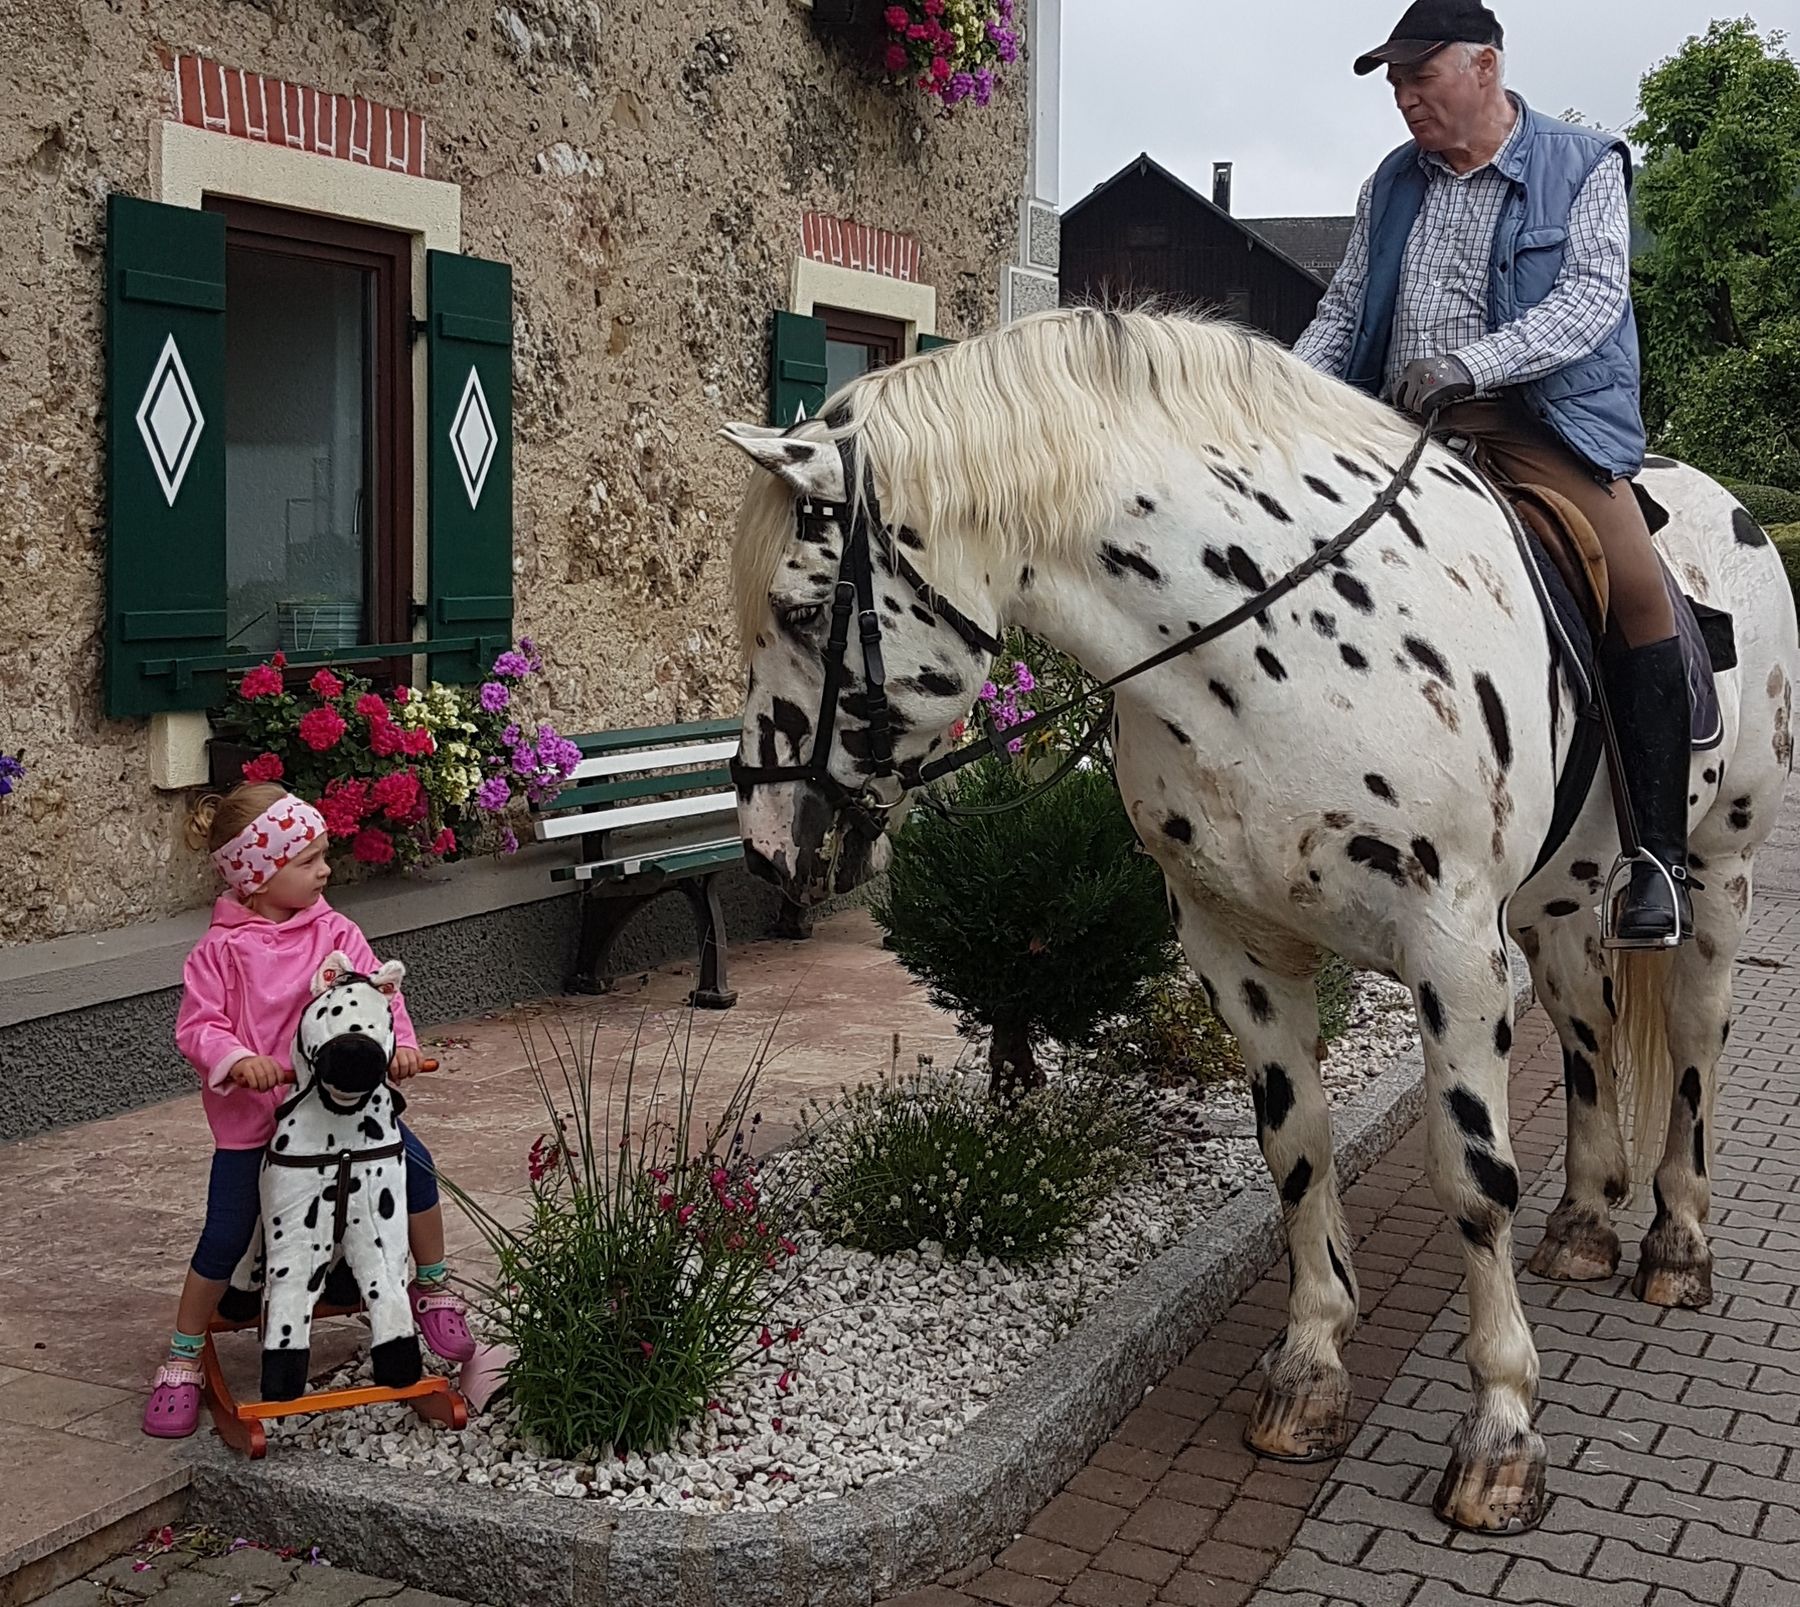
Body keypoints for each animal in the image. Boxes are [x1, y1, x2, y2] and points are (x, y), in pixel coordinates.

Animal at [716, 304, 1800, 1533]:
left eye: (804, 609)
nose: (768, 847)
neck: (1277, 641)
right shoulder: (1234, 943)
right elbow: (1296, 1147)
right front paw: (1312, 1367)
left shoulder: (1453, 950)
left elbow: (1474, 1178)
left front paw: (1501, 1434)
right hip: (1562, 902)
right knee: (1587, 1026)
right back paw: (1582, 1221)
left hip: (1717, 878)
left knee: (1696, 1047)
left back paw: (1676, 1242)